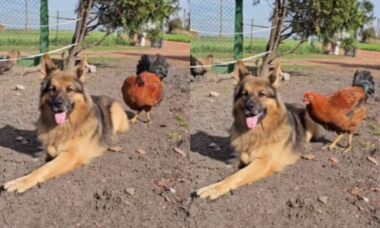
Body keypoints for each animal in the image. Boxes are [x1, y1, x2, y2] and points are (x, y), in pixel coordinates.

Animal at [2, 54, 129, 192]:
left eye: (70, 90)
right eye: (52, 89)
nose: (58, 104)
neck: (63, 128)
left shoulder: (70, 155)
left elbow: (44, 169)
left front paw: (21, 181)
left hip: (115, 112)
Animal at [196, 60, 320, 200]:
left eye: (262, 94)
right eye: (244, 94)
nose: (248, 107)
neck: (257, 132)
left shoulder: (263, 162)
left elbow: (236, 176)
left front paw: (213, 188)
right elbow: (239, 158)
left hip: (309, 119)